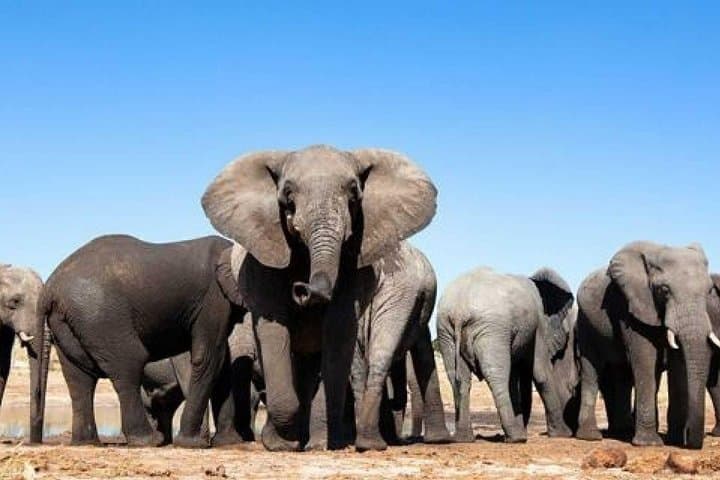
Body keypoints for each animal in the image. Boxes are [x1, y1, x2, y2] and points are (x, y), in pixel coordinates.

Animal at [33, 234, 246, 447]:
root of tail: (49, 288)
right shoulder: (214, 299)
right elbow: (209, 357)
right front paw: (193, 443)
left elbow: (222, 363)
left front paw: (229, 442)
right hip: (100, 315)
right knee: (128, 365)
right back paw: (149, 440)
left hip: (69, 321)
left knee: (79, 378)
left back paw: (87, 442)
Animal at [202, 144, 437, 451]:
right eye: (287, 194)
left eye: (354, 193)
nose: (302, 289)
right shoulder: (263, 260)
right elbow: (274, 329)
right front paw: (281, 444)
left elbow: (338, 331)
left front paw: (319, 444)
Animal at [436, 267, 576, 443]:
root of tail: (460, 310)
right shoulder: (539, 326)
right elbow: (540, 374)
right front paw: (563, 434)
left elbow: (515, 377)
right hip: (492, 330)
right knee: (496, 375)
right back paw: (516, 438)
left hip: (445, 331)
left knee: (459, 378)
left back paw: (464, 438)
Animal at [575, 241, 719, 449]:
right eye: (664, 290)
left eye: (709, 291)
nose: (689, 436)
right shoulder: (632, 305)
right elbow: (645, 358)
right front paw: (649, 443)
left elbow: (677, 363)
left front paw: (674, 440)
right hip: (585, 323)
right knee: (591, 370)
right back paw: (591, 437)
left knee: (622, 374)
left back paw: (623, 431)